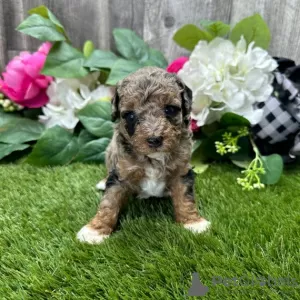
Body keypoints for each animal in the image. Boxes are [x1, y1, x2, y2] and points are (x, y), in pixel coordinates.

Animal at [77, 66, 211, 244]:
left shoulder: (181, 170)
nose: (154, 139)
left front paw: (193, 222)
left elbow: (185, 197)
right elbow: (109, 202)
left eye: (170, 109)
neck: (153, 157)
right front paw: (95, 230)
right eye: (130, 115)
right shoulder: (120, 173)